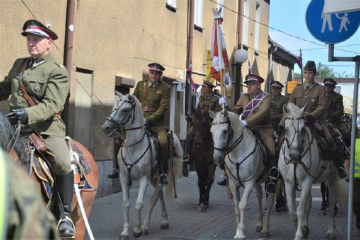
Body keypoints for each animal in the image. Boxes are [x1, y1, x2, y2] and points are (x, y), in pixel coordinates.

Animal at [100, 92, 183, 240]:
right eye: (114, 107)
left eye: (125, 110)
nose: (106, 128)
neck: (134, 147)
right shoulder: (124, 177)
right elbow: (126, 203)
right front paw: (125, 232)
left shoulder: (143, 178)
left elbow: (139, 204)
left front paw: (137, 229)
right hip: (154, 178)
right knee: (159, 195)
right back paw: (164, 220)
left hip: (161, 176)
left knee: (154, 198)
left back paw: (146, 226)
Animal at [210, 109, 274, 239]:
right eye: (211, 131)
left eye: (225, 131)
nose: (217, 158)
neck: (238, 153)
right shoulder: (233, 184)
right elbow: (236, 207)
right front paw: (237, 231)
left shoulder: (249, 183)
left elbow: (242, 205)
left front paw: (240, 232)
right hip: (258, 182)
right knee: (259, 196)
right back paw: (259, 223)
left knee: (269, 202)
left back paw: (265, 229)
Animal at [280, 103, 348, 240]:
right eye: (285, 129)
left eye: (303, 129)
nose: (294, 156)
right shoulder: (289, 183)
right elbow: (292, 211)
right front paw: (301, 229)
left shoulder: (306, 181)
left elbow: (300, 210)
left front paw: (299, 234)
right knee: (309, 202)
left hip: (332, 178)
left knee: (331, 203)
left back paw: (331, 231)